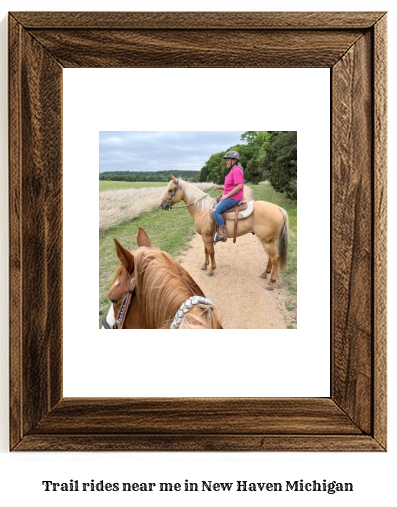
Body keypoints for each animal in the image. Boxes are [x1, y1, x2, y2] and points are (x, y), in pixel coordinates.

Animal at [160, 177, 288, 292]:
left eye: (171, 190)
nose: (162, 205)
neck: (202, 209)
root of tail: (278, 208)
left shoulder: (207, 237)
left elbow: (211, 252)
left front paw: (211, 270)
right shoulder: (204, 237)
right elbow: (206, 251)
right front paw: (204, 265)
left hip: (267, 242)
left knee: (275, 258)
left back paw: (270, 283)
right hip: (269, 241)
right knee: (271, 258)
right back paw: (264, 273)